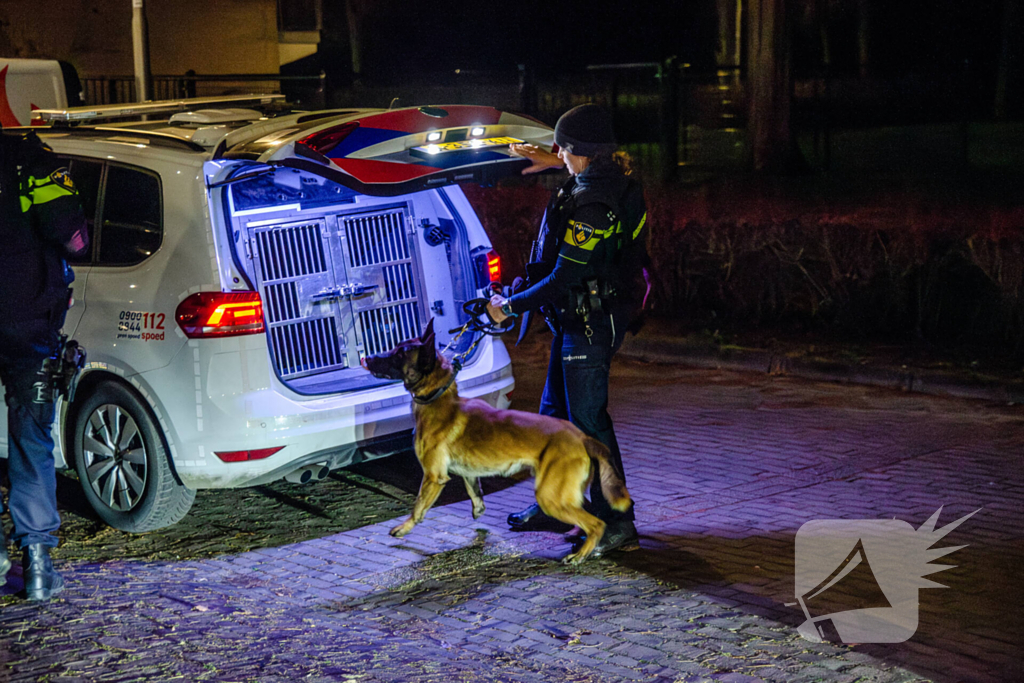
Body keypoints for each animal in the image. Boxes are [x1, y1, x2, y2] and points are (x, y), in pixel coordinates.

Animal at [360, 317, 630, 565]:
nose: (366, 358)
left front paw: (404, 528)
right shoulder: (467, 474)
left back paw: (581, 554)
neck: (438, 396)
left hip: (550, 496)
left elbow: (417, 507)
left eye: (398, 354)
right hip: (561, 493)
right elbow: (475, 492)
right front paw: (478, 511)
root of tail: (582, 437)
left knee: (596, 524)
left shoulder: (433, 477)